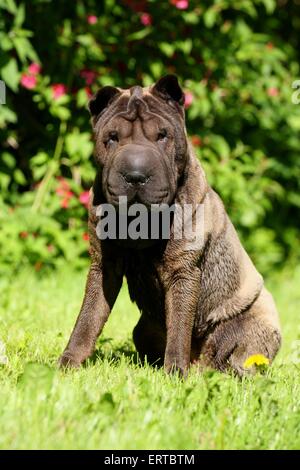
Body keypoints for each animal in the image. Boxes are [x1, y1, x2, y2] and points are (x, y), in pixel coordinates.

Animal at [59, 76, 282, 378]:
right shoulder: (104, 265)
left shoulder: (183, 271)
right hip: (143, 329)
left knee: (239, 358)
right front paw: (69, 361)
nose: (135, 175)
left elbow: (179, 327)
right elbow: (88, 318)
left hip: (252, 329)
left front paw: (175, 372)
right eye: (112, 137)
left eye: (162, 135)